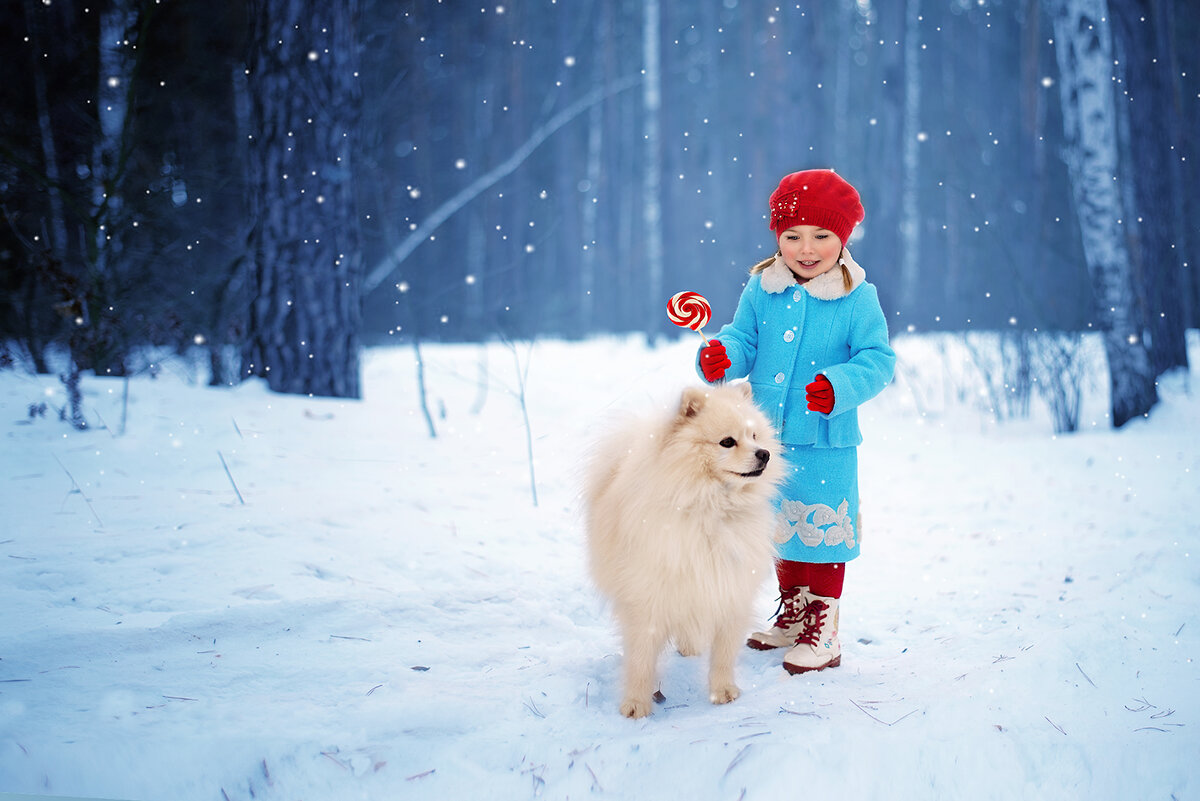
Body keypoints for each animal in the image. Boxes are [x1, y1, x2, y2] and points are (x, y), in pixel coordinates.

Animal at [585, 383, 782, 719]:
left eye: (755, 436)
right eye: (727, 442)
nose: (764, 454)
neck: (710, 507)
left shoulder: (729, 587)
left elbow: (724, 653)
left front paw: (723, 691)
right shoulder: (648, 595)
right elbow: (641, 659)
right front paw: (636, 704)